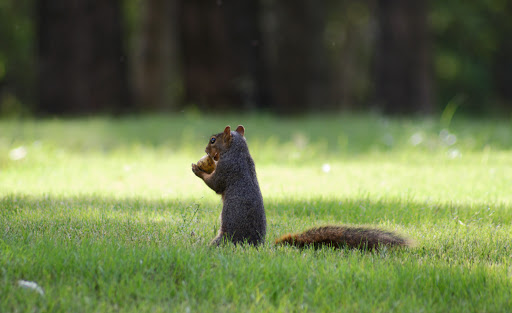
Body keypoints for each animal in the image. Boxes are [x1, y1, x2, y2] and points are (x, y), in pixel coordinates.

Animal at [190, 124, 410, 249]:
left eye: (213, 140)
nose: (205, 149)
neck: (238, 151)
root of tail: (257, 246)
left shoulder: (228, 168)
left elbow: (216, 184)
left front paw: (198, 170)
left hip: (224, 239)